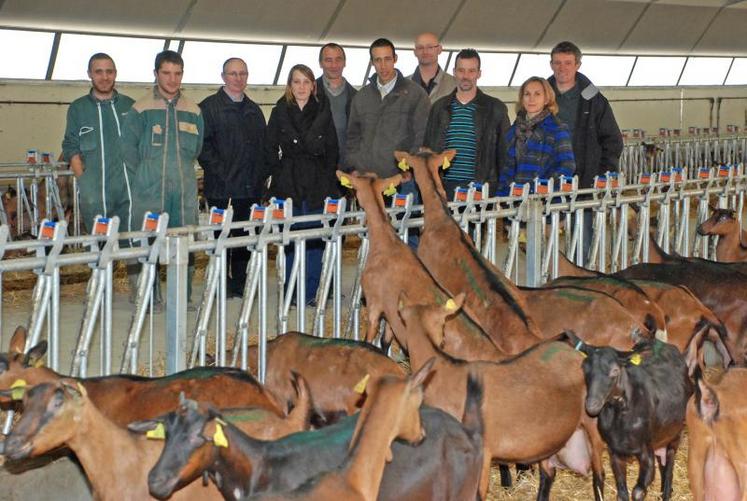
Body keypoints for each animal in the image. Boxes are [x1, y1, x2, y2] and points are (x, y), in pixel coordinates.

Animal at [398, 292, 608, 500]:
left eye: (443, 325)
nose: (442, 341)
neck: (445, 373)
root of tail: (575, 353)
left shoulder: (482, 453)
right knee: (548, 474)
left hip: (592, 424)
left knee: (599, 476)